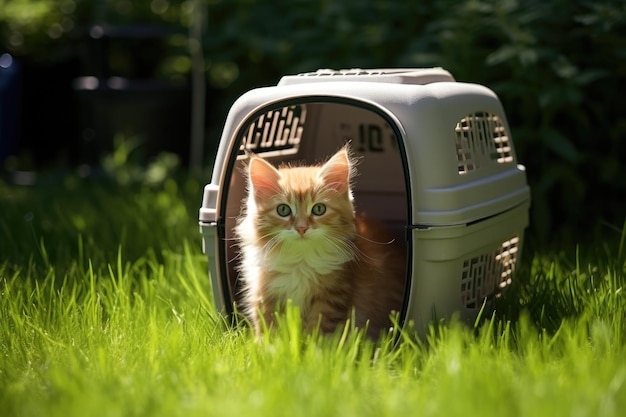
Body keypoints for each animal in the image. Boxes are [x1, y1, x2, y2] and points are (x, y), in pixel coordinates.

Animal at [234, 145, 404, 338]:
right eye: (283, 210)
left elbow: (319, 329)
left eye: (319, 209)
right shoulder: (265, 292)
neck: (300, 261)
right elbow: (268, 327)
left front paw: (312, 344)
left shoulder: (333, 296)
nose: (301, 228)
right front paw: (268, 344)